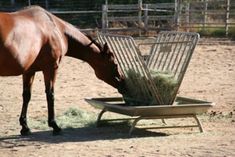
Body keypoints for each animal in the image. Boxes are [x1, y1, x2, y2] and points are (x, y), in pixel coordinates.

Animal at [0, 6, 125, 136]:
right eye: (115, 65)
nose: (123, 82)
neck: (55, 28)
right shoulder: (51, 68)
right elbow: (50, 94)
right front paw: (54, 125)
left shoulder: (29, 71)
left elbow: (26, 96)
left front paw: (25, 127)